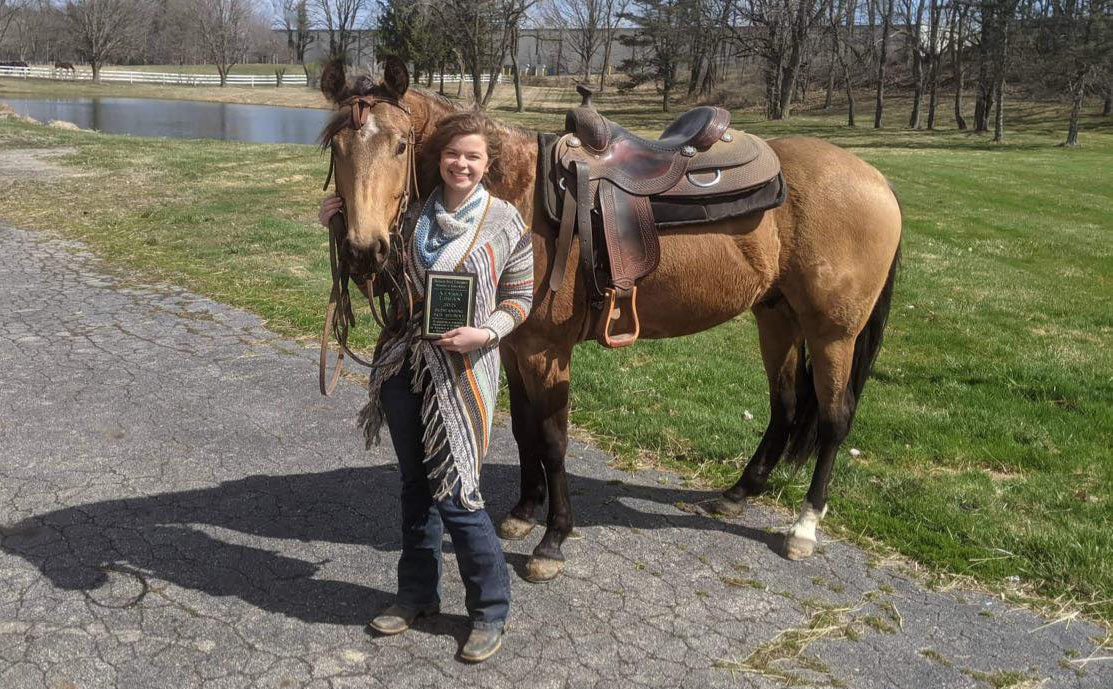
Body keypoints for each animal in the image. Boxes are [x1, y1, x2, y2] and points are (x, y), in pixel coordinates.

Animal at [316, 62, 903, 583]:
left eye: (399, 145)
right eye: (336, 147)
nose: (364, 250)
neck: (519, 192)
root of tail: (876, 180)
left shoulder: (546, 351)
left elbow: (553, 439)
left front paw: (553, 539)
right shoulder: (514, 344)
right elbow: (525, 429)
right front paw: (524, 513)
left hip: (832, 332)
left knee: (835, 418)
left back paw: (803, 526)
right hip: (775, 316)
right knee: (785, 406)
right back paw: (739, 493)